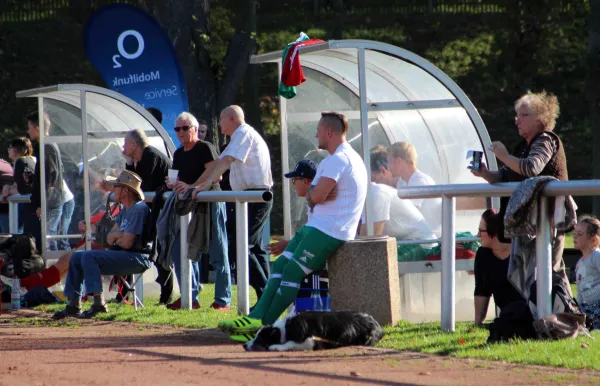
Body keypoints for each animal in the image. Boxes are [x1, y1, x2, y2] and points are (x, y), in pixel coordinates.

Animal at [244, 310, 384, 352]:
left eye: (260, 338)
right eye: (255, 336)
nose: (244, 345)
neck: (286, 328)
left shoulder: (310, 340)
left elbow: (289, 343)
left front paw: (276, 346)